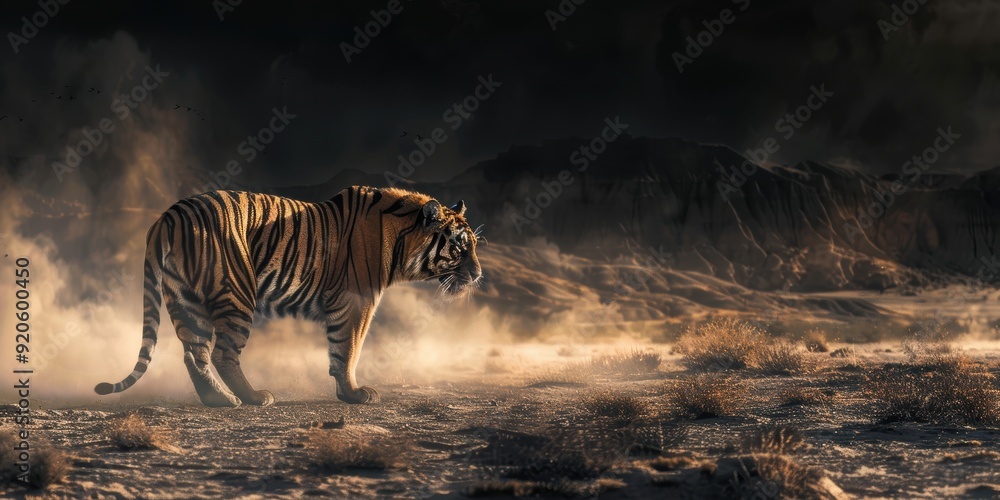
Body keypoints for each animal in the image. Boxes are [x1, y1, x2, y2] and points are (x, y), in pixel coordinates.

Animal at [95, 186, 482, 407]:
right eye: (460, 246)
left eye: (475, 245)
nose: (478, 273)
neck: (399, 236)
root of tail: (169, 215)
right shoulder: (357, 300)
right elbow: (349, 349)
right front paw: (354, 394)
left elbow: (342, 350)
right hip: (237, 291)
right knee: (221, 353)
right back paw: (254, 398)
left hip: (185, 298)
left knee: (195, 354)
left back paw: (220, 400)